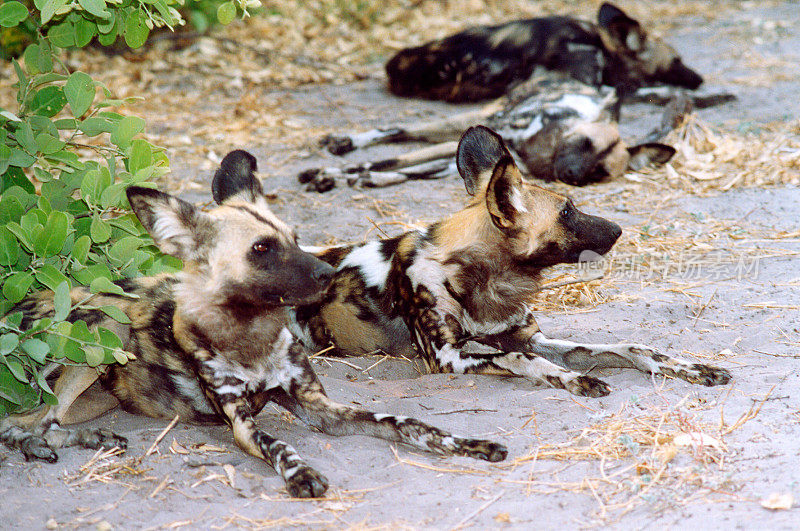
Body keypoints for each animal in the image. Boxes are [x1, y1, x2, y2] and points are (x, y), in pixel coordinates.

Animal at [1, 152, 506, 500]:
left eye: (295, 239)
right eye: (261, 249)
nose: (329, 274)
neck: (251, 339)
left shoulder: (319, 407)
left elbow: (407, 423)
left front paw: (469, 444)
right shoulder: (243, 424)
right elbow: (281, 447)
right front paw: (303, 474)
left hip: (99, 392)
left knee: (39, 422)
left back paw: (87, 438)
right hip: (103, 330)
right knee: (22, 422)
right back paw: (45, 445)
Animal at [290, 127, 732, 396]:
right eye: (567, 211)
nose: (619, 230)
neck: (481, 279)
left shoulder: (528, 337)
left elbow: (629, 347)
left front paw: (691, 368)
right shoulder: (447, 355)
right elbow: (521, 359)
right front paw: (572, 379)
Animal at [304, 74, 680, 191]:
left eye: (599, 170)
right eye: (584, 143)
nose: (572, 174)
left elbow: (401, 168)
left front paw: (346, 176)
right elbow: (391, 158)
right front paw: (331, 171)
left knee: (413, 169)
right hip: (469, 121)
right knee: (397, 132)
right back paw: (346, 144)